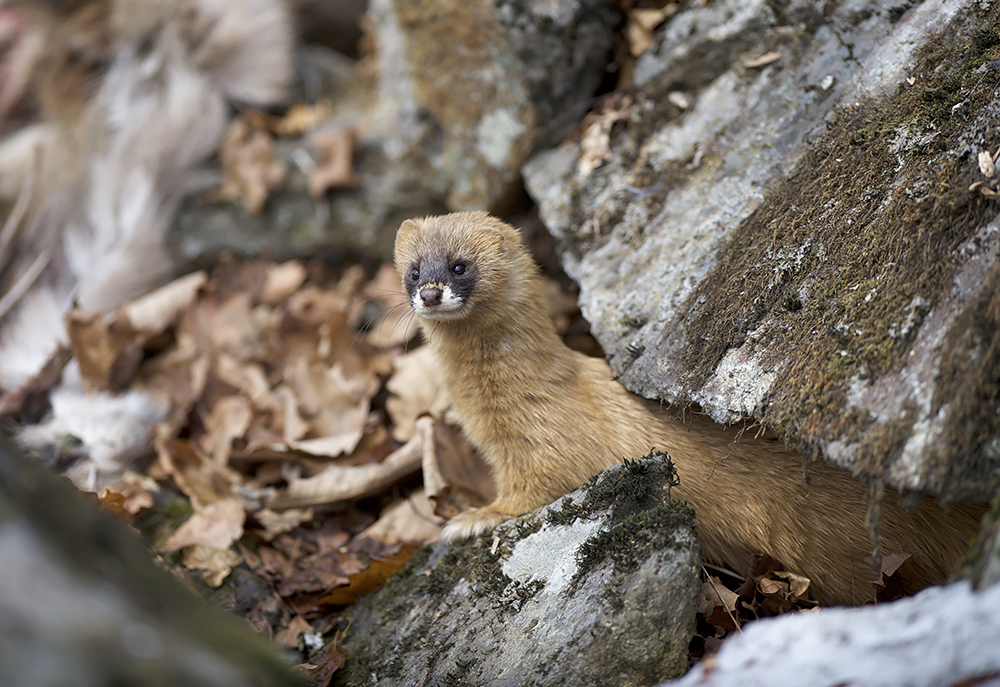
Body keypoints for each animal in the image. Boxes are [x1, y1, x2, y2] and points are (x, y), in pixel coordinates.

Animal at [392, 212, 984, 604]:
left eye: (460, 265)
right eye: (413, 269)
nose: (430, 292)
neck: (497, 414)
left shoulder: (545, 447)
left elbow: (532, 492)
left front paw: (471, 518)